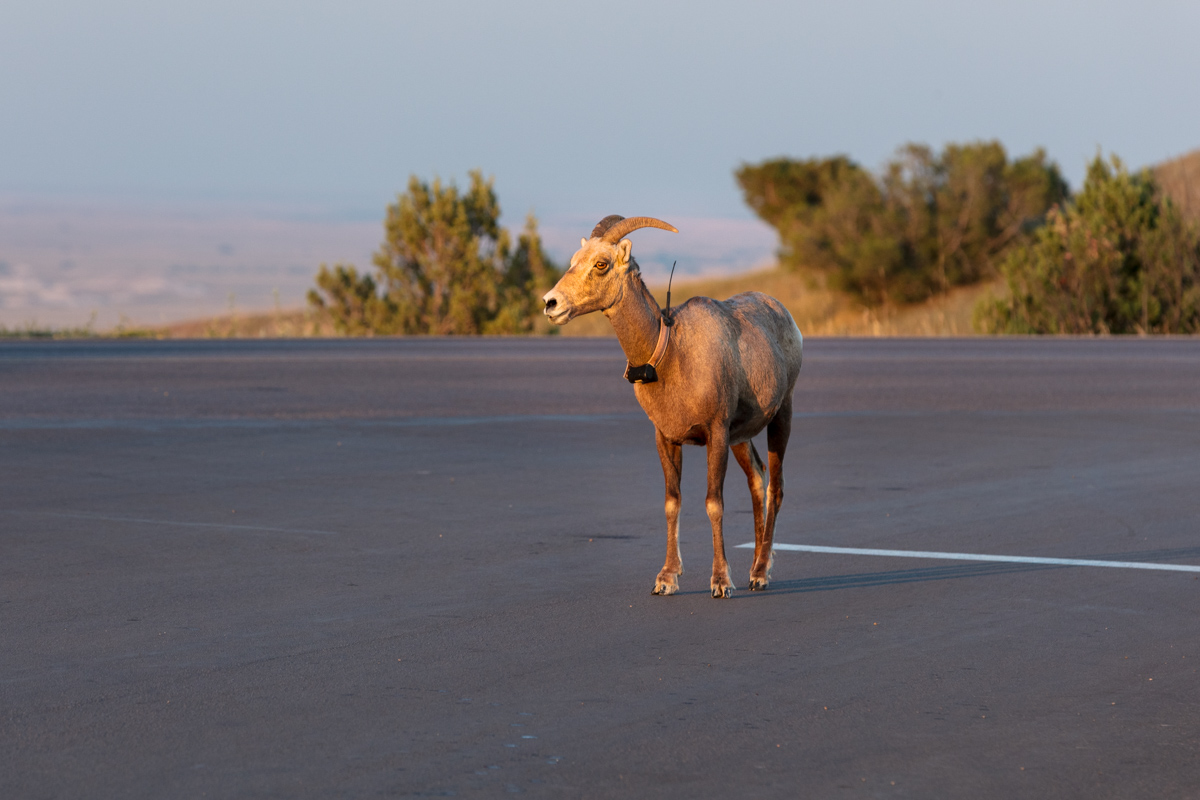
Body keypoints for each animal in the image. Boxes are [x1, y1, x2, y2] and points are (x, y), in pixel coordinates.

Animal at [543, 215, 803, 598]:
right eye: (575, 259)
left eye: (601, 264)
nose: (551, 303)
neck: (670, 354)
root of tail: (785, 315)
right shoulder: (666, 438)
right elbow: (671, 503)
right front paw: (666, 579)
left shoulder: (715, 434)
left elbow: (713, 504)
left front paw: (720, 582)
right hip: (741, 437)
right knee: (757, 477)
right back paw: (757, 567)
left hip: (781, 415)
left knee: (776, 487)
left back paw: (759, 575)